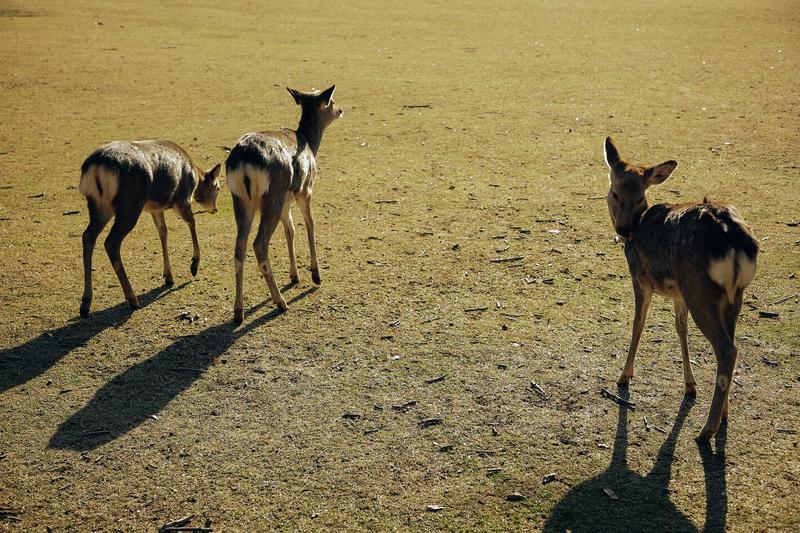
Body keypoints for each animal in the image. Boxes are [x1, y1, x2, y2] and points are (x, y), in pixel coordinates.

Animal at [79, 140, 221, 318]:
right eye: (218, 187)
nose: (215, 209)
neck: (195, 175)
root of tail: (96, 168)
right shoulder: (182, 199)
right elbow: (192, 223)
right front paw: (194, 266)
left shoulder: (156, 208)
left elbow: (163, 232)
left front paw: (169, 276)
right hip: (130, 205)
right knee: (111, 242)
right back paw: (132, 299)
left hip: (99, 205)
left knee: (88, 236)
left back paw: (85, 303)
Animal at [225, 85, 342, 324]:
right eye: (331, 101)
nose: (341, 110)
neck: (309, 143)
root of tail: (243, 162)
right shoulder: (305, 191)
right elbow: (310, 225)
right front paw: (316, 275)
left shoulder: (286, 204)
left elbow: (290, 231)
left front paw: (294, 276)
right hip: (272, 197)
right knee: (259, 243)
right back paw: (280, 302)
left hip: (241, 201)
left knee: (239, 247)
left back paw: (239, 311)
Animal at [603, 137, 758, 442]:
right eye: (615, 194)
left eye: (639, 197)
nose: (624, 230)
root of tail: (733, 240)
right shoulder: (678, 294)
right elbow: (680, 328)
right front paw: (690, 385)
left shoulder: (641, 278)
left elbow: (638, 324)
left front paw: (624, 375)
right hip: (732, 294)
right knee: (733, 344)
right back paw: (723, 414)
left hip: (700, 288)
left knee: (726, 349)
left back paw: (706, 430)